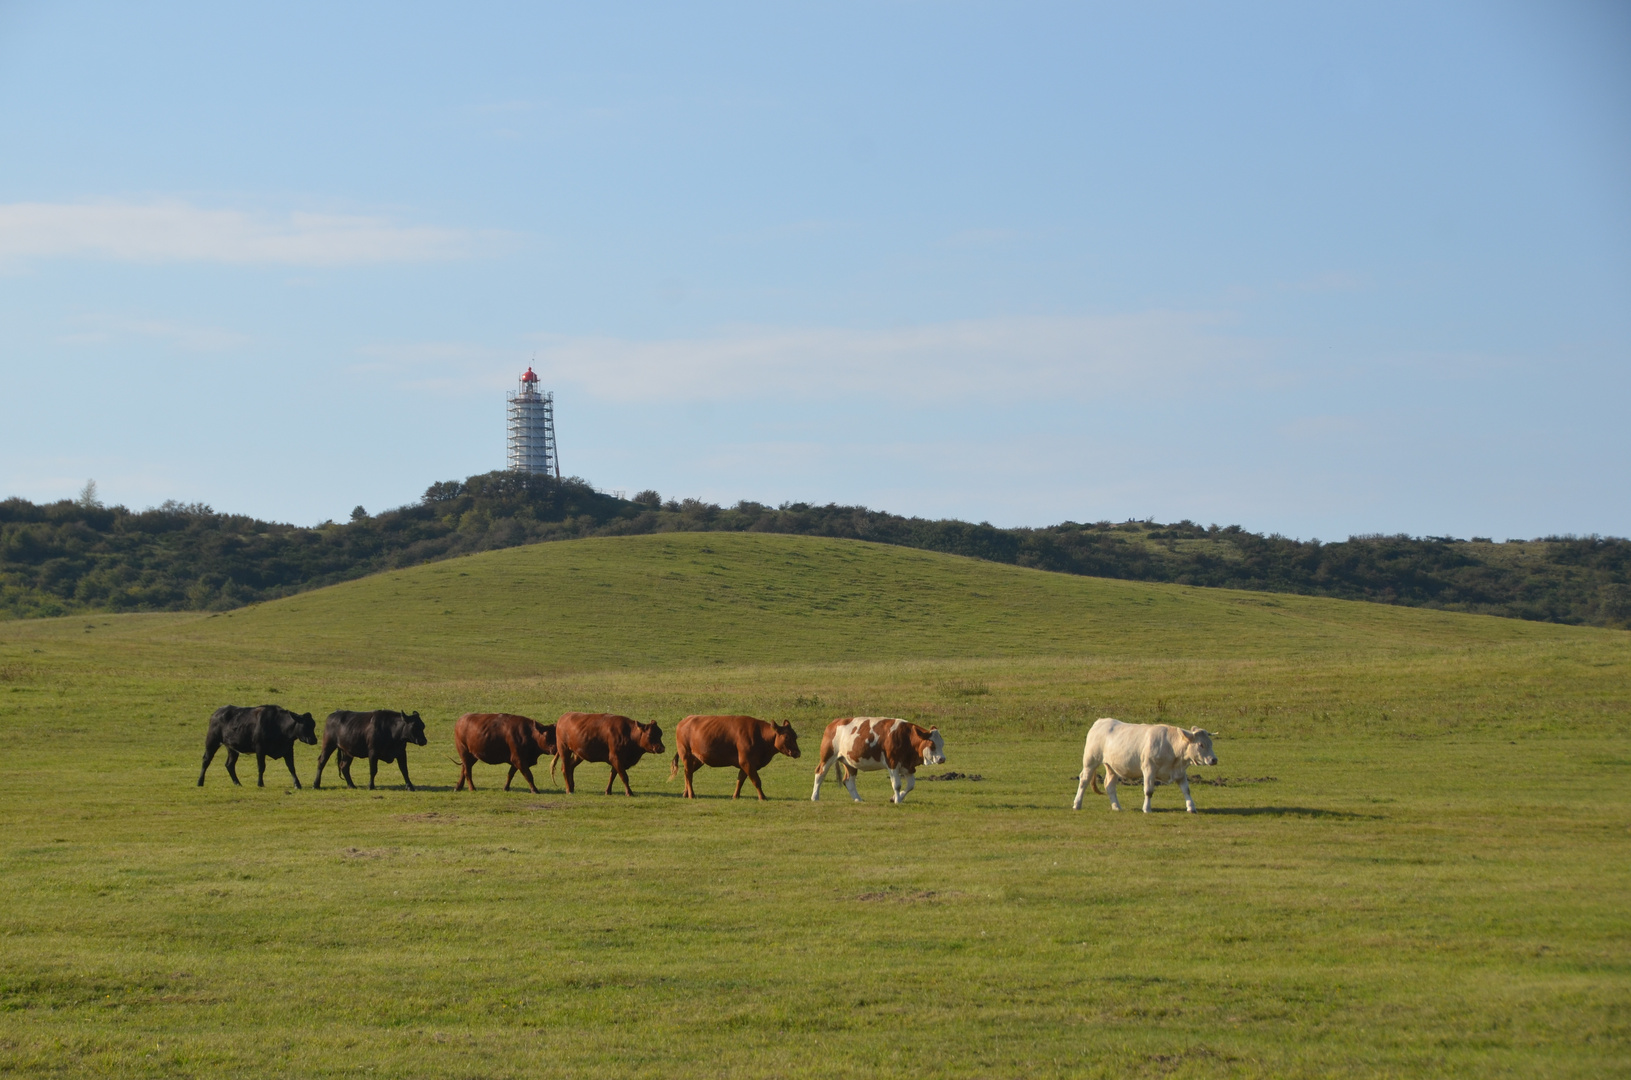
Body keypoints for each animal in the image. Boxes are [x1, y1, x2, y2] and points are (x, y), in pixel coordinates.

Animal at [665, 714, 799, 799]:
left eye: (796, 736)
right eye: (787, 737)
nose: (798, 752)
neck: (760, 736)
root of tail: (684, 721)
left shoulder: (745, 763)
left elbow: (740, 780)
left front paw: (736, 796)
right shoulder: (747, 762)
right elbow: (756, 781)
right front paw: (762, 797)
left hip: (698, 758)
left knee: (688, 773)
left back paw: (685, 793)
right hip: (686, 753)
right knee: (688, 774)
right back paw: (691, 795)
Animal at [805, 717, 945, 802]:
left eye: (942, 744)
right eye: (932, 745)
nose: (942, 759)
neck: (906, 737)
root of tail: (834, 723)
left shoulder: (908, 766)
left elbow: (910, 786)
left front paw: (895, 798)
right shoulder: (892, 763)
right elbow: (897, 784)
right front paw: (898, 801)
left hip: (849, 761)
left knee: (849, 781)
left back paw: (858, 799)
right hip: (828, 756)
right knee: (820, 773)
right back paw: (815, 797)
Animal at [1076, 717, 1219, 812]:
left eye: (1211, 743)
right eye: (1201, 744)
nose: (1214, 760)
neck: (1171, 747)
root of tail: (1101, 721)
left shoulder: (1180, 772)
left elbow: (1186, 790)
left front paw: (1191, 807)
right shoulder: (1149, 769)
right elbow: (1149, 791)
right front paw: (1146, 808)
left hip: (1112, 767)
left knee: (1109, 785)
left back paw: (1116, 806)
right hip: (1090, 761)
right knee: (1084, 780)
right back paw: (1077, 804)